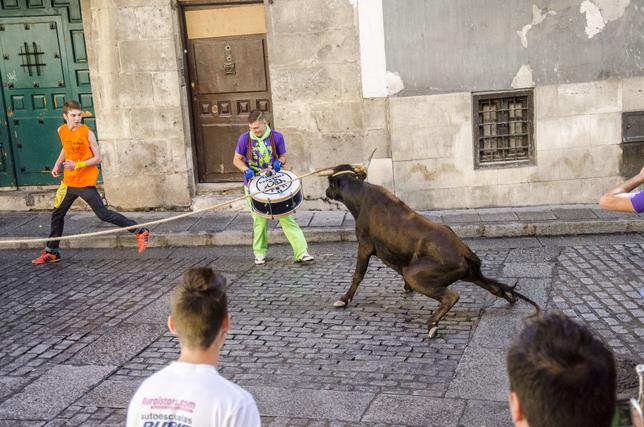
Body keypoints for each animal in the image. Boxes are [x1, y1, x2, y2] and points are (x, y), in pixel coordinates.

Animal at [317, 164, 540, 338]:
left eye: (329, 182)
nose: (326, 193)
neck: (361, 196)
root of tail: (463, 251)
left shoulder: (364, 247)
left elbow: (357, 276)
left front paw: (344, 300)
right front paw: (406, 289)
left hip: (420, 275)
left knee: (451, 296)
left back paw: (432, 324)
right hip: (471, 275)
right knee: (495, 288)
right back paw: (510, 299)